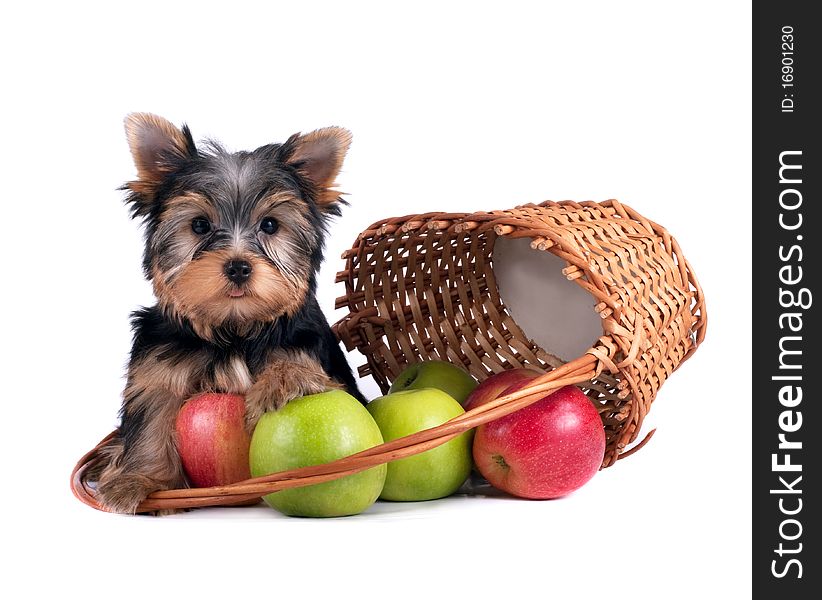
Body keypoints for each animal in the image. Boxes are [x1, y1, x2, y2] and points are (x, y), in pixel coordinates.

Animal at [86, 115, 364, 512]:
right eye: (199, 225)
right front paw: (141, 481)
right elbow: (152, 416)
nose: (238, 266)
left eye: (270, 225)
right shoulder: (157, 367)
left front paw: (284, 380)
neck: (234, 329)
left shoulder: (312, 350)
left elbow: (297, 363)